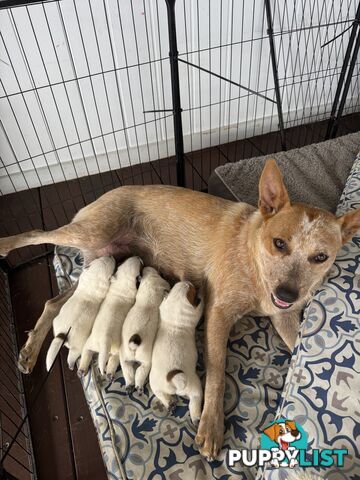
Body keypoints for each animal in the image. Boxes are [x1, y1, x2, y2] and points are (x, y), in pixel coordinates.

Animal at [119, 266, 170, 394]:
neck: (150, 276)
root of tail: (133, 344)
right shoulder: (163, 283)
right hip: (146, 362)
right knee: (141, 373)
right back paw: (139, 387)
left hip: (124, 359)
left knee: (128, 372)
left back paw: (129, 386)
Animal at [149, 282, 204, 424]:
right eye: (192, 289)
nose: (189, 282)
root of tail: (173, 381)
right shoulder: (195, 312)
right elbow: (201, 305)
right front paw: (203, 293)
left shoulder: (164, 307)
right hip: (194, 386)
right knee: (195, 399)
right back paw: (196, 417)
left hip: (155, 382)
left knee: (160, 393)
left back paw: (169, 402)